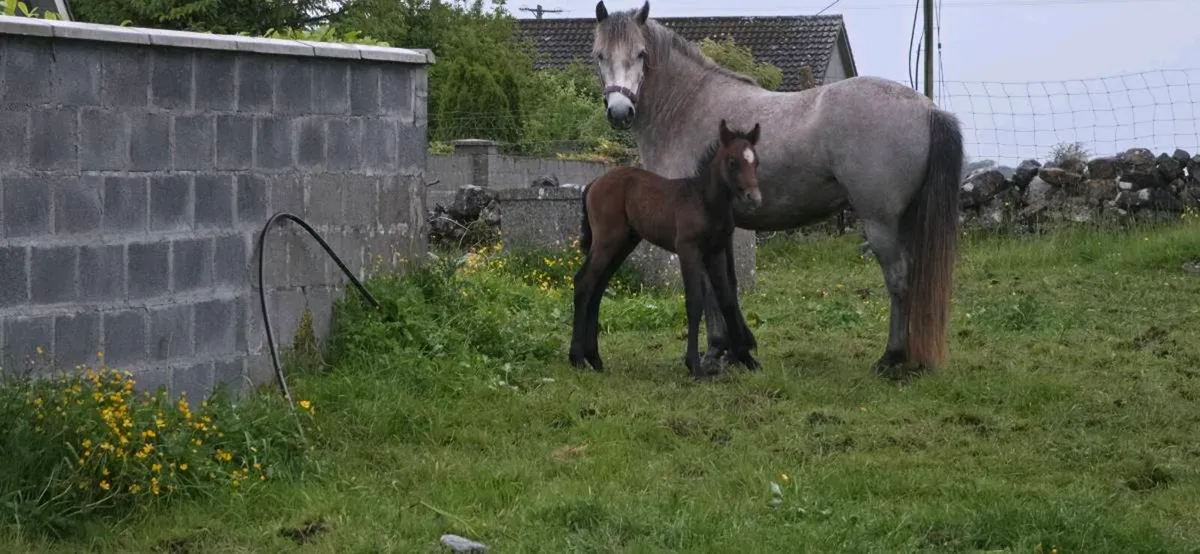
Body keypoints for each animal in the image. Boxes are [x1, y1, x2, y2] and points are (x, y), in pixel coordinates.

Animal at [569, 119, 764, 380]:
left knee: (597, 289)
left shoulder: (715, 252)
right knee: (584, 283)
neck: (704, 202)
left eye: (756, 161)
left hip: (624, 243)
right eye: (732, 162)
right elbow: (694, 302)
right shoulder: (688, 249)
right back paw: (576, 358)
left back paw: (595, 359)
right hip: (606, 241)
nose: (754, 198)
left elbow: (727, 300)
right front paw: (694, 366)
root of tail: (593, 184)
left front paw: (747, 358)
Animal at [591, 1, 965, 379]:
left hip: (880, 222)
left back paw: (891, 357)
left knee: (899, 278)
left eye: (641, 54)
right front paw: (736, 349)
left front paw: (714, 353)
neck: (689, 108)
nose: (620, 112)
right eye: (599, 55)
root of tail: (928, 109)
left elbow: (710, 289)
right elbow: (727, 287)